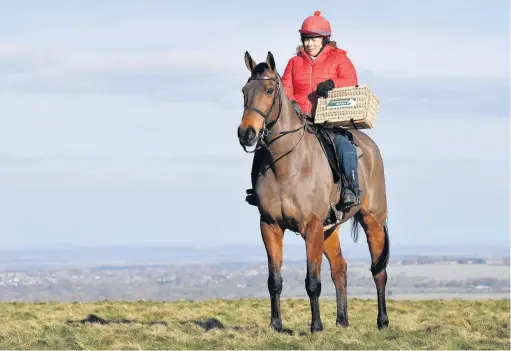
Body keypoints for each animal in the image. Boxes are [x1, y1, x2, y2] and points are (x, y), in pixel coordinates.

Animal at [238, 51, 390, 334]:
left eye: (268, 90)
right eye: (244, 91)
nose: (246, 133)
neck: (287, 165)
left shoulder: (311, 227)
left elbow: (312, 281)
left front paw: (316, 326)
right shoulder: (270, 226)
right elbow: (274, 280)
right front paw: (276, 325)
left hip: (372, 221)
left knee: (379, 270)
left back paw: (383, 321)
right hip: (330, 230)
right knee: (340, 268)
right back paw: (342, 320)